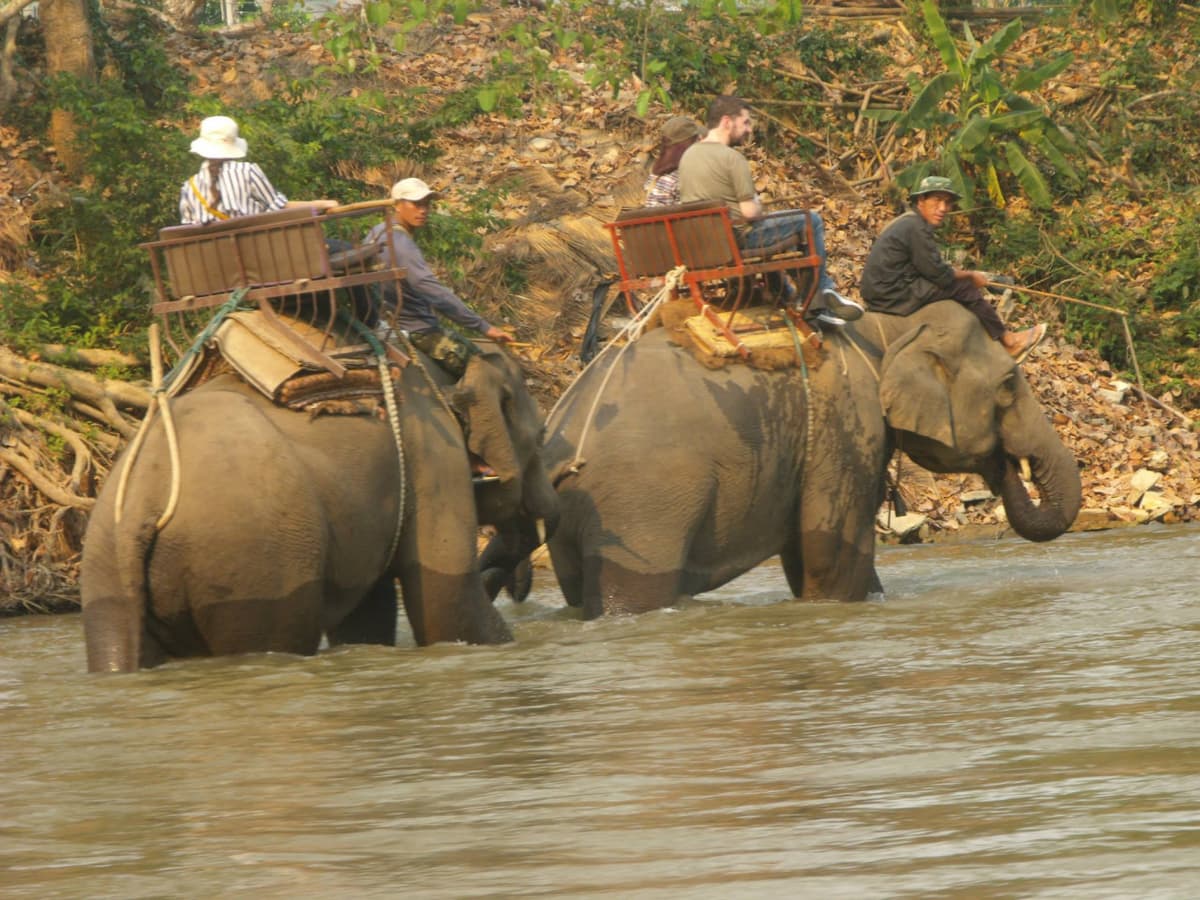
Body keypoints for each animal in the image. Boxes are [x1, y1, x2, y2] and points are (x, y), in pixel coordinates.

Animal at [80, 343, 556, 672]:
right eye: (541, 437)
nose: (512, 587)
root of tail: (143, 503)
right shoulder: (435, 455)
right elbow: (448, 604)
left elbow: (369, 615)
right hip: (256, 563)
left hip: (107, 573)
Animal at [484, 300, 1081, 617]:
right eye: (1009, 385)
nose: (1006, 465)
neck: (885, 328)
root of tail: (558, 435)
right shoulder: (846, 423)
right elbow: (829, 556)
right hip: (639, 511)